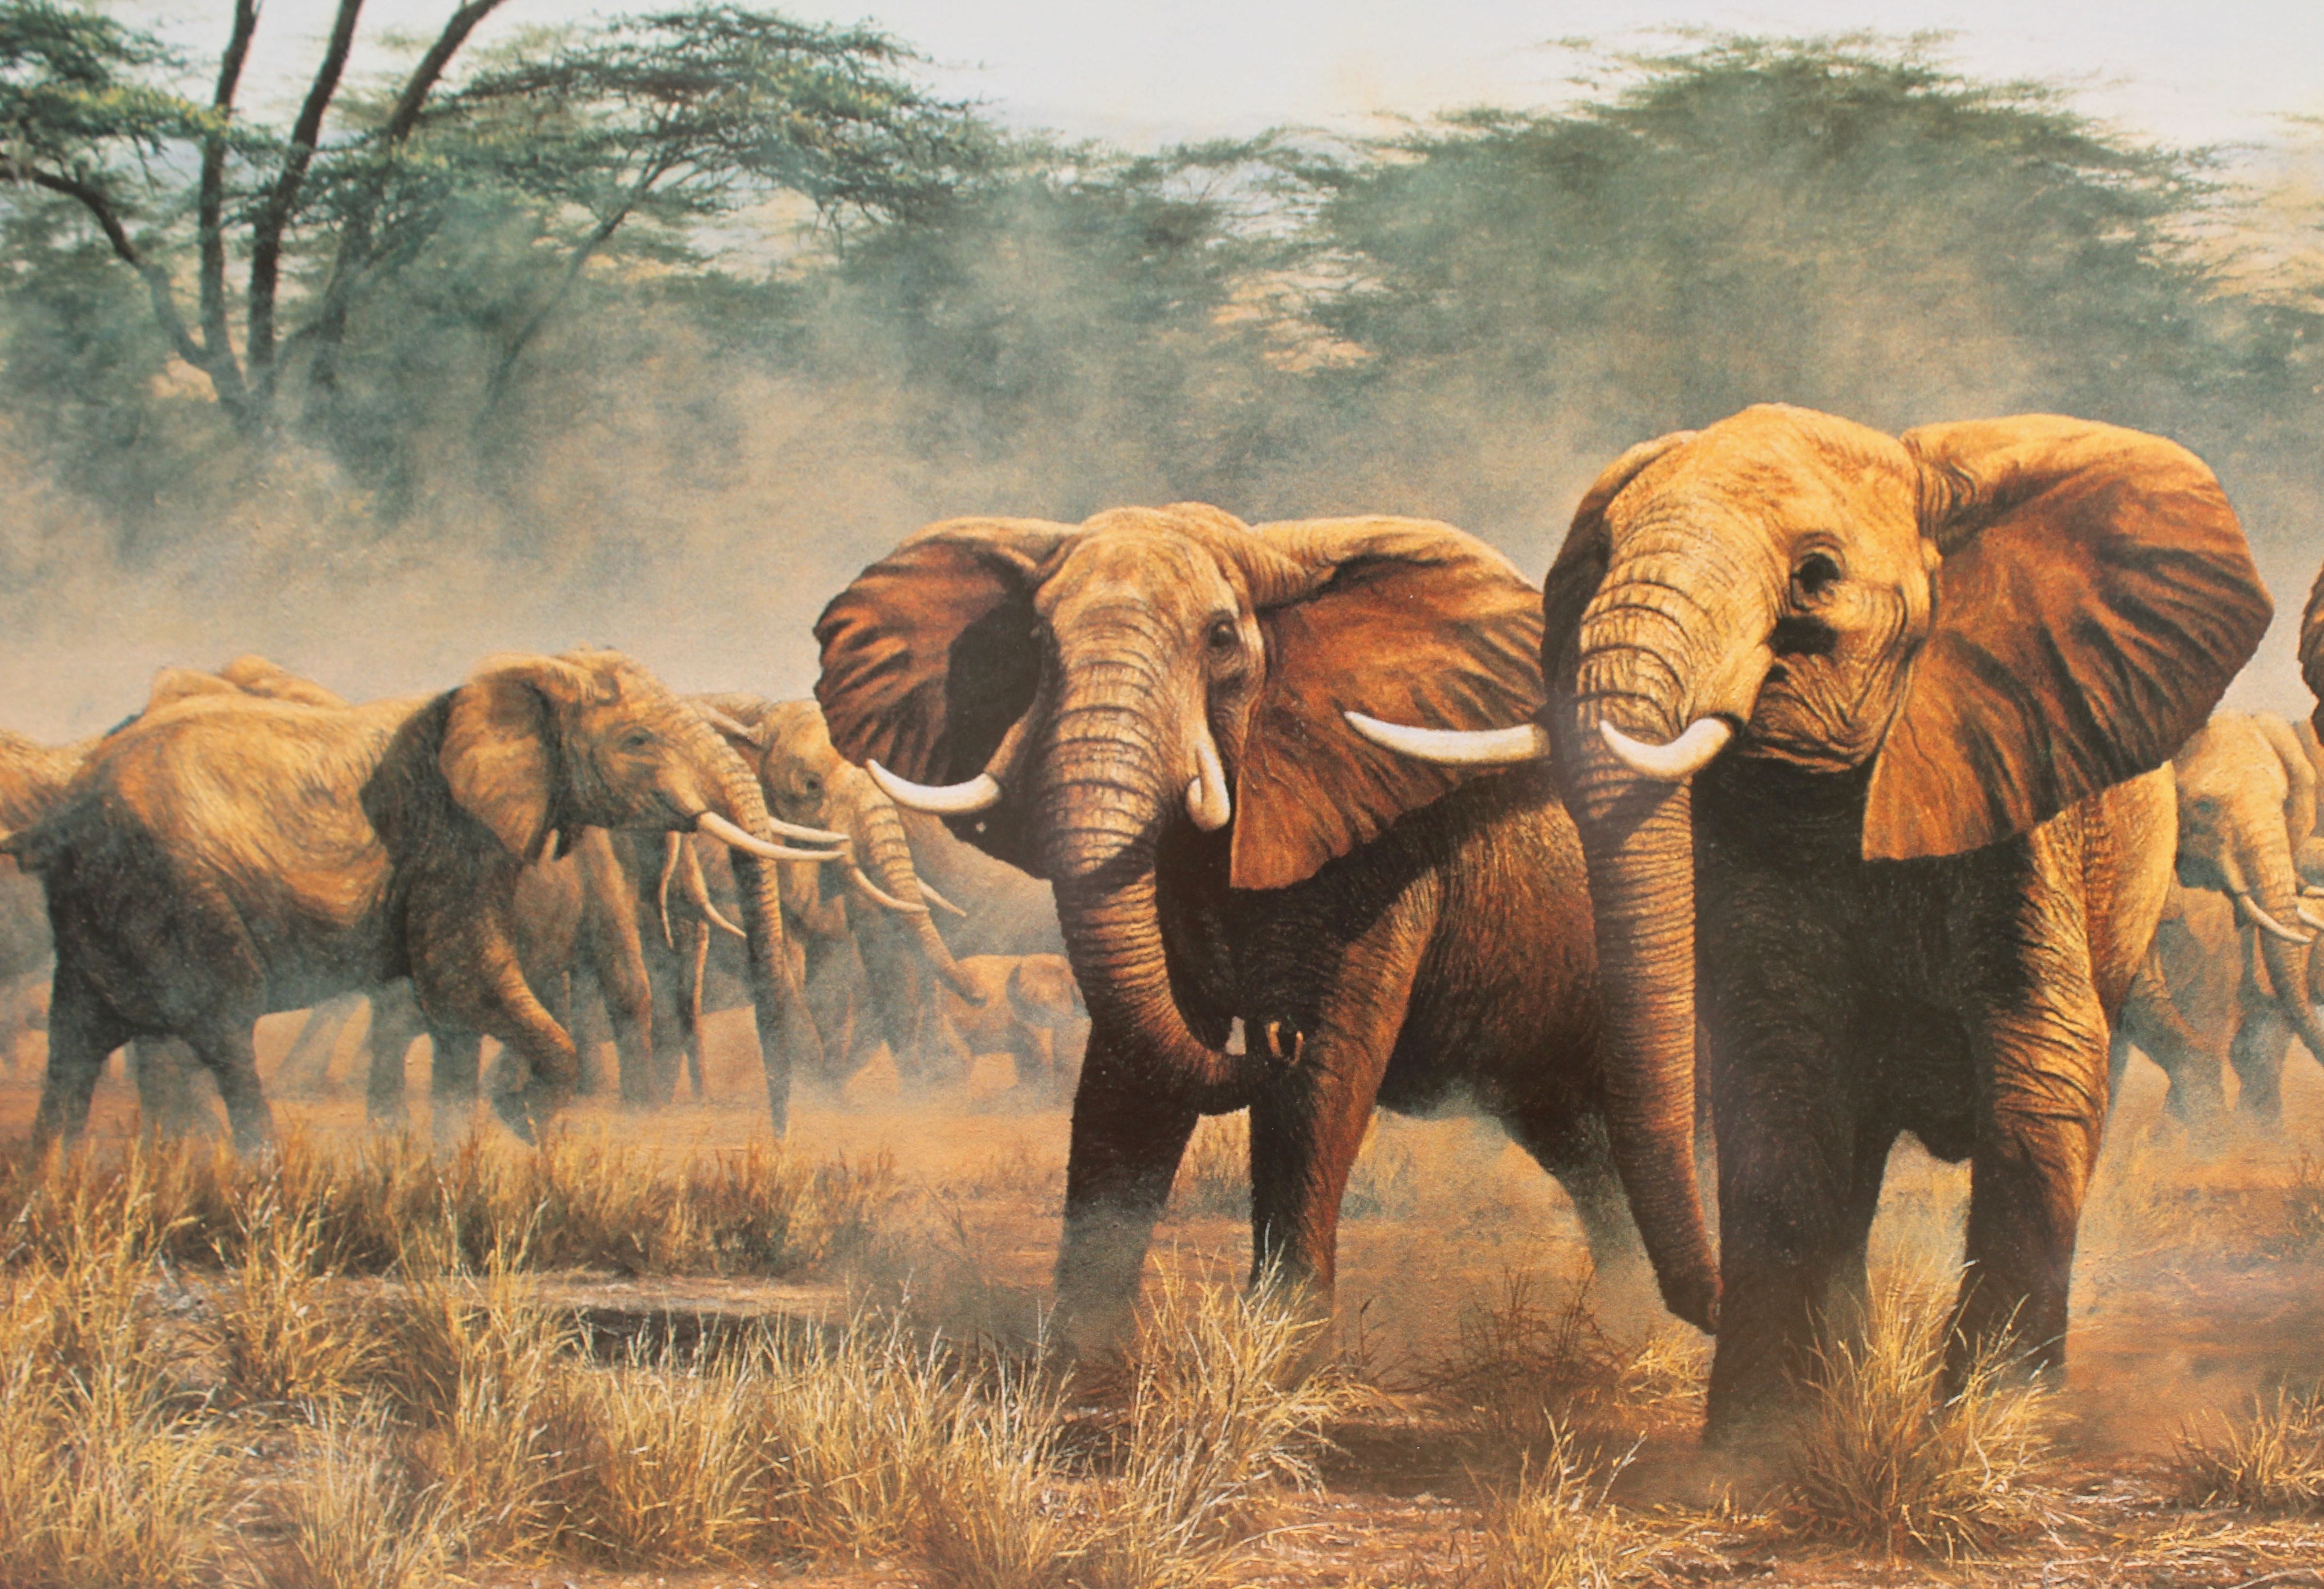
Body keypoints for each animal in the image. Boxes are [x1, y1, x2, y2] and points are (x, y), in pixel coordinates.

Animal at [7, 649, 841, 1152]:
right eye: (638, 741)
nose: (779, 1138)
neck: (519, 674)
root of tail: (67, 807)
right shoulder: (448, 836)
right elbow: (462, 981)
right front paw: (522, 1113)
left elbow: (451, 1011)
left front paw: (457, 1153)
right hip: (176, 890)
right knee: (224, 1026)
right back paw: (257, 1167)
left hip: (100, 907)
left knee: (75, 1044)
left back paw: (53, 1177)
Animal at [815, 504, 1667, 1353]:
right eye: (1032, 641)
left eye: (1221, 637)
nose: (1273, 1032)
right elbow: (1134, 1068)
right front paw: (1080, 1344)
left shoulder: (1375, 847)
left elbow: (1323, 1070)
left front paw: (1285, 1350)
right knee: (1586, 1149)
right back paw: (1634, 1328)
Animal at [1352, 406, 2268, 1436]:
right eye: (1594, 556)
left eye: (1816, 575)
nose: (1701, 1305)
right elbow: (1786, 1076)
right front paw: (1758, 1438)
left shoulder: (2020, 795)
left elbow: (2040, 1057)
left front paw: (1989, 1420)